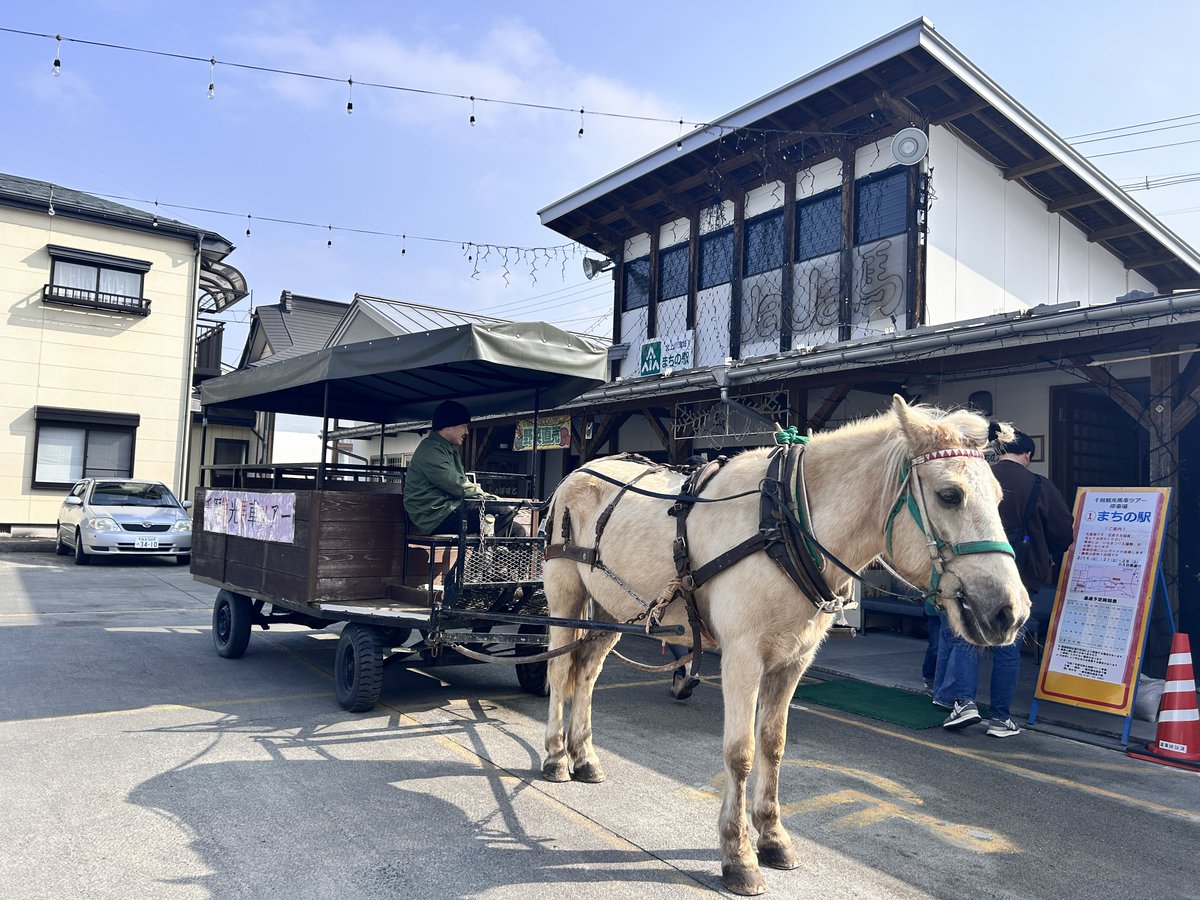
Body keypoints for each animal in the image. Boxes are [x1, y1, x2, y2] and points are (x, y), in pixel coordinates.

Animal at [539, 396, 1029, 896]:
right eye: (950, 495)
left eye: (999, 497)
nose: (1011, 612)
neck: (783, 527)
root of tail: (577, 473)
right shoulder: (741, 656)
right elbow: (740, 753)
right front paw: (738, 856)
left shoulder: (793, 659)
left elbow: (773, 745)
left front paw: (772, 837)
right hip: (565, 592)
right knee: (559, 672)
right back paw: (556, 755)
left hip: (612, 608)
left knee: (587, 672)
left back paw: (584, 756)